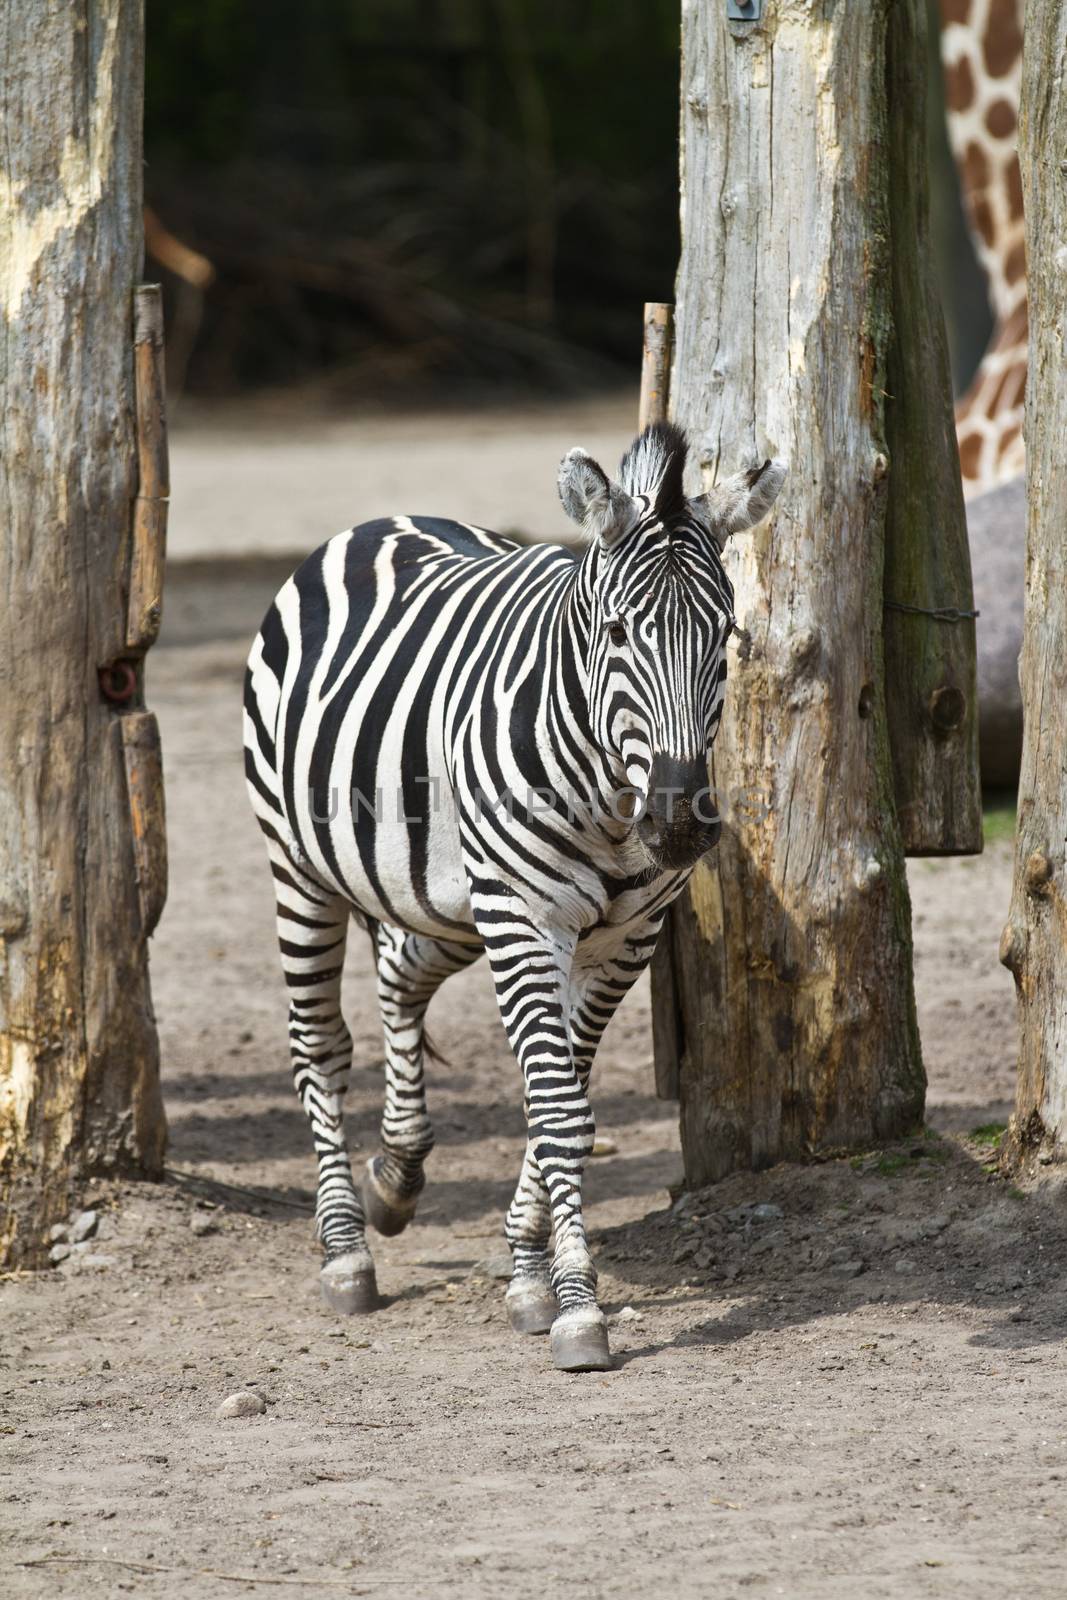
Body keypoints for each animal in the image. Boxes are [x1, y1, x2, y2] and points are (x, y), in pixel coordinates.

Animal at [246, 419, 790, 1369]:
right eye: (617, 632)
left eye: (725, 633)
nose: (679, 825)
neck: (609, 799)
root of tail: (381, 520)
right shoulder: (525, 919)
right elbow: (560, 1112)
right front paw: (576, 1306)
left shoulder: (624, 938)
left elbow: (563, 1100)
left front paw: (529, 1272)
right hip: (302, 868)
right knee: (318, 1043)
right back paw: (347, 1250)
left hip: (446, 901)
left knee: (399, 974)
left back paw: (396, 1176)